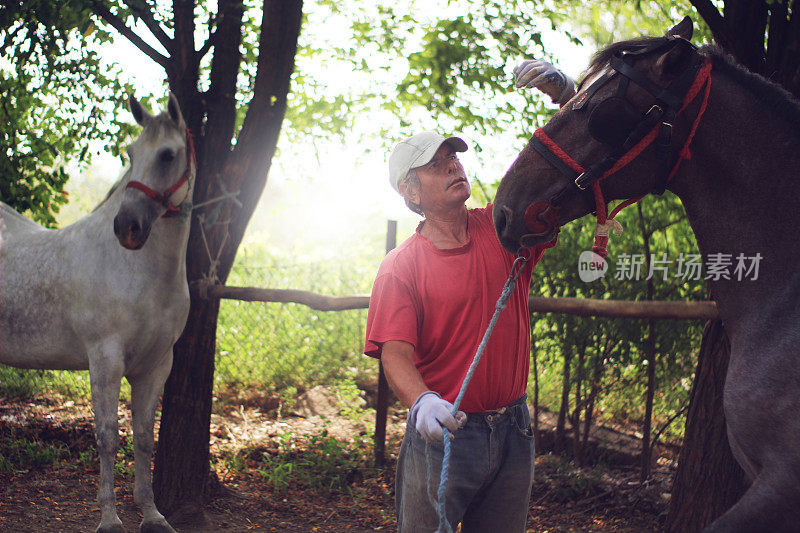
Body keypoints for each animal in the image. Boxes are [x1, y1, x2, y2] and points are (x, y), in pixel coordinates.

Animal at [0, 93, 194, 528]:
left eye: (168, 155)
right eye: (130, 153)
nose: (127, 227)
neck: (138, 271)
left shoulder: (157, 365)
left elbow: (144, 437)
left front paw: (152, 515)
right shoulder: (105, 357)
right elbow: (107, 435)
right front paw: (109, 519)